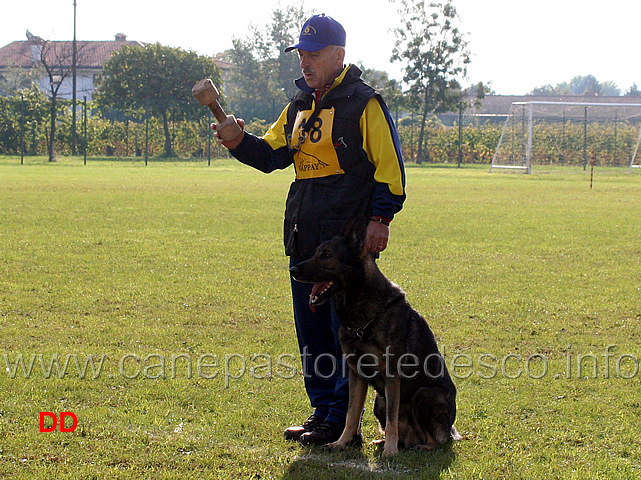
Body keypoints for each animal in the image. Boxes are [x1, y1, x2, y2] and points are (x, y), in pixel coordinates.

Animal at [290, 218, 460, 458]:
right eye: (315, 253)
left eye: (326, 255)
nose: (293, 269)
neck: (361, 318)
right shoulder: (356, 374)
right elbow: (351, 415)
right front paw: (341, 443)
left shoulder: (391, 376)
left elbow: (390, 419)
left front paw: (389, 451)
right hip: (379, 400)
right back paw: (387, 442)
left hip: (424, 394)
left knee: (436, 440)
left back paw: (416, 445)